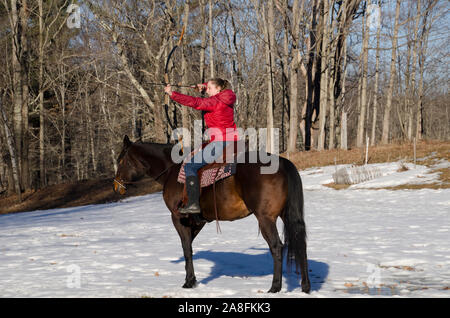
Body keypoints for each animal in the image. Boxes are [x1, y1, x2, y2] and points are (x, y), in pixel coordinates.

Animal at [113, 135, 310, 294]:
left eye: (121, 161)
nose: (116, 186)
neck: (171, 170)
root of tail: (282, 163)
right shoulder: (198, 221)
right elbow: (189, 247)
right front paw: (192, 280)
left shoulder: (178, 218)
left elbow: (187, 249)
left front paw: (189, 282)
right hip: (286, 215)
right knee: (300, 244)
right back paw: (305, 286)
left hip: (265, 219)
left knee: (277, 247)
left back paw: (275, 287)